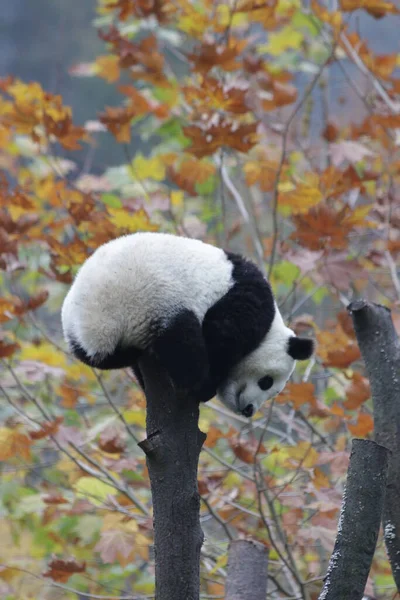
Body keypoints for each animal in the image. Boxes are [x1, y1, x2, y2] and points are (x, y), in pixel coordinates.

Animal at [61, 233, 314, 418]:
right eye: (266, 382)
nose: (249, 410)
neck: (272, 326)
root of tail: (95, 325)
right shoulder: (245, 299)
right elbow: (223, 335)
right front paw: (210, 383)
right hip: (152, 299)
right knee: (183, 342)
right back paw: (198, 384)